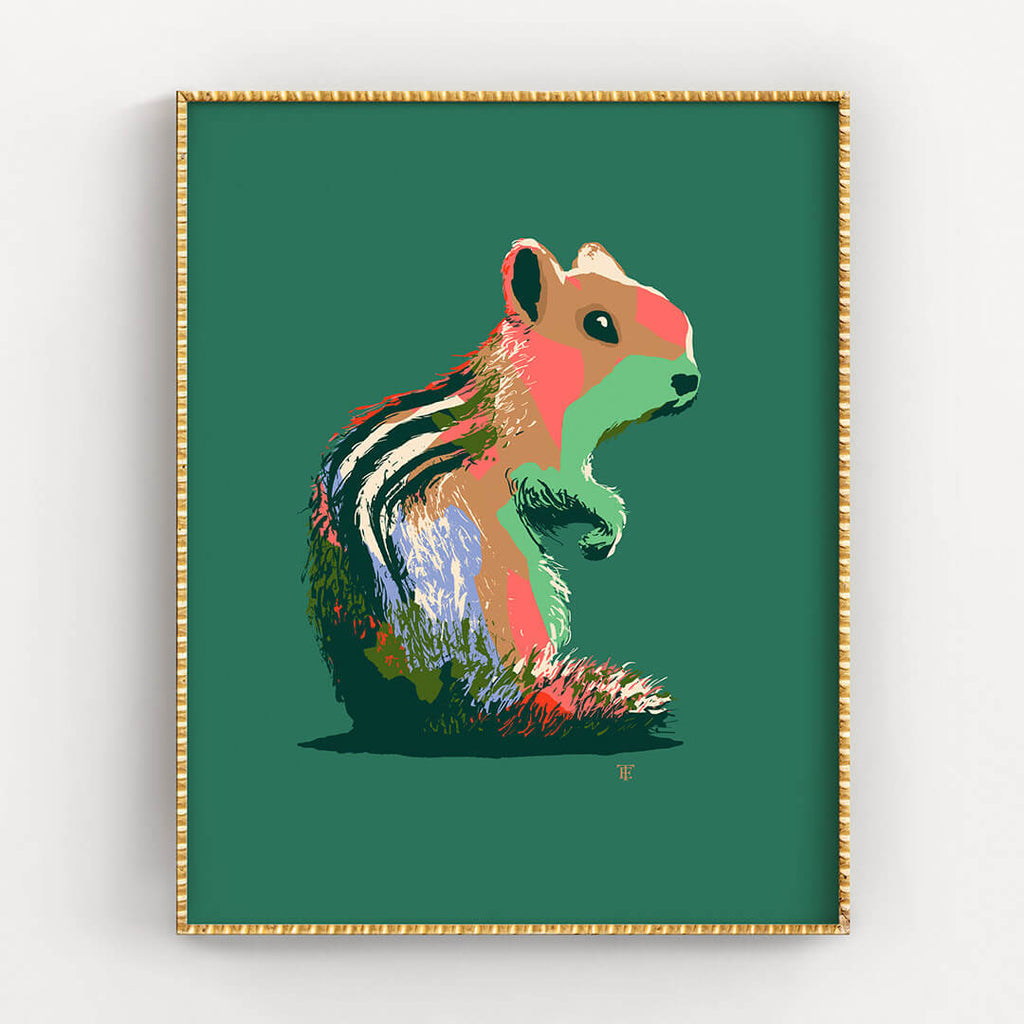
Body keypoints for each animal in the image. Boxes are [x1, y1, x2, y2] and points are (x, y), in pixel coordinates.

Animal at [306, 240, 700, 748]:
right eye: (599, 325)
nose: (689, 381)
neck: (529, 377)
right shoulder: (537, 460)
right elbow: (564, 491)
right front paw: (607, 524)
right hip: (521, 595)